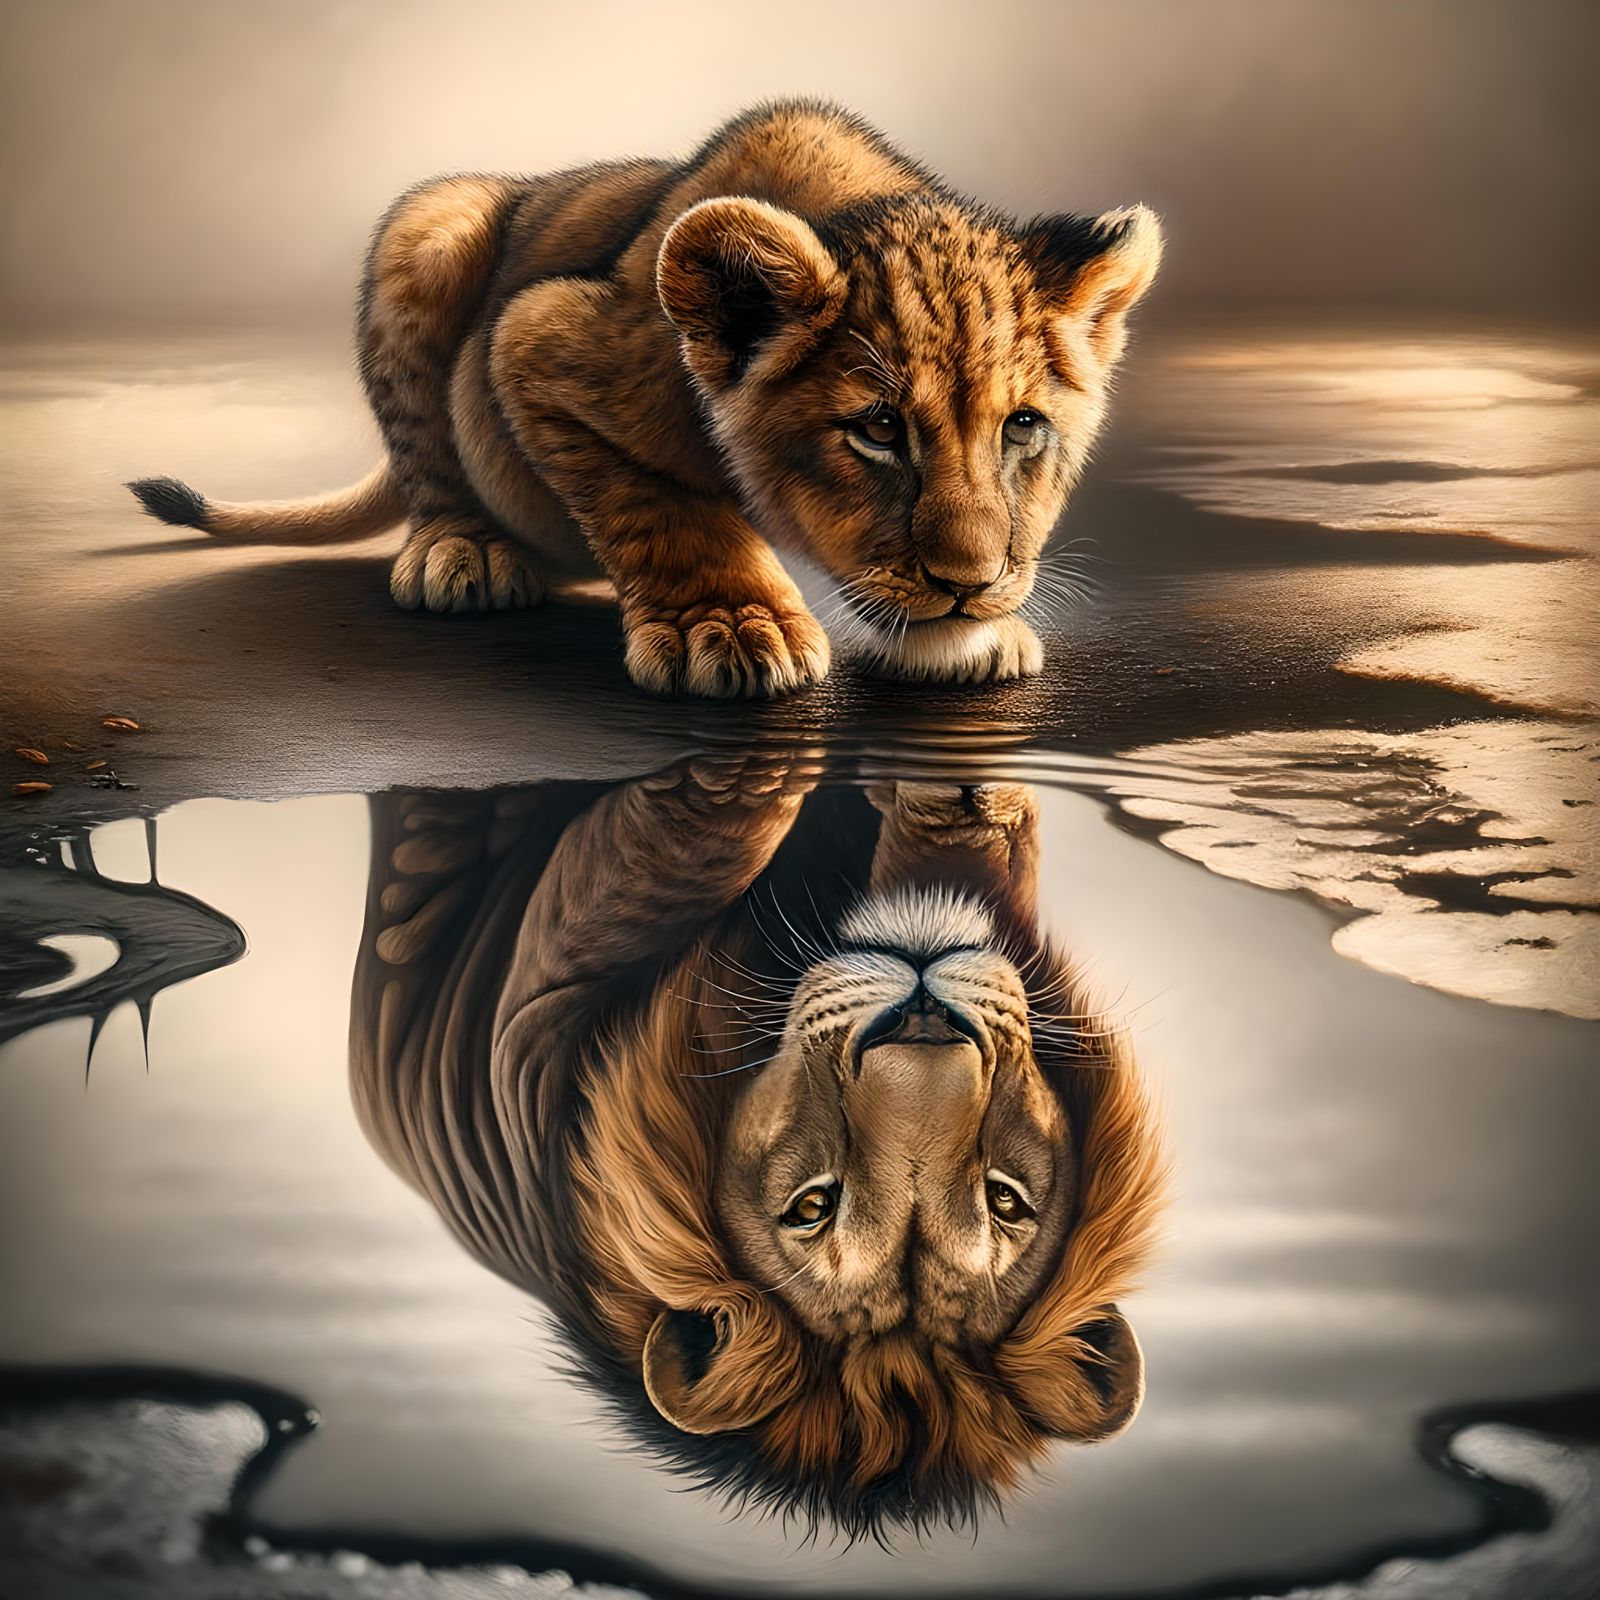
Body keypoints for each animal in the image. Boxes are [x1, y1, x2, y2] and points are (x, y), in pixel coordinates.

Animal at [127, 100, 1162, 698]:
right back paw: (463, 553)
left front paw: (977, 637)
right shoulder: (539, 340)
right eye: (876, 430)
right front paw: (732, 627)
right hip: (432, 225)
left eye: (1023, 428)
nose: (969, 585)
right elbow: (664, 508)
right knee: (427, 459)